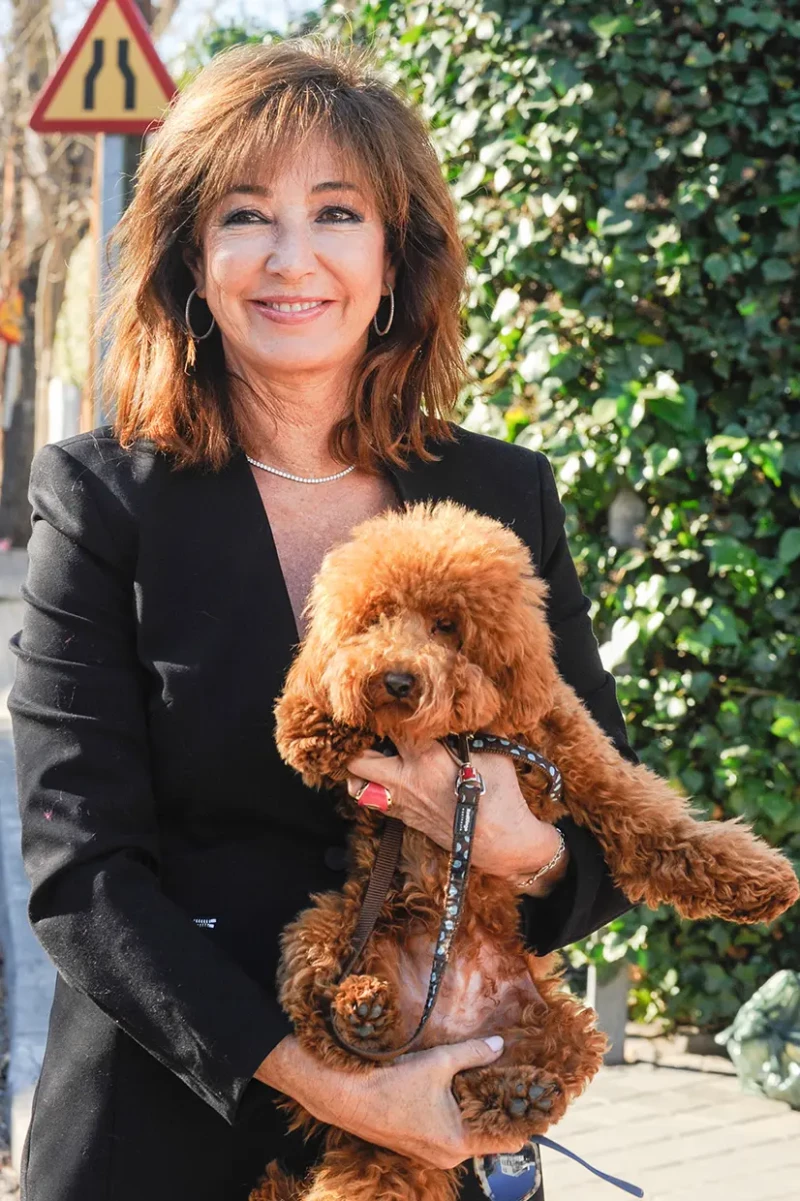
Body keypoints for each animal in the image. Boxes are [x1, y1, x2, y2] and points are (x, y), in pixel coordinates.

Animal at [247, 499, 792, 1201]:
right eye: (374, 619)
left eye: (447, 626)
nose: (394, 678)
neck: (464, 738)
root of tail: (441, 1028)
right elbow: (310, 717)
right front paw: (317, 722)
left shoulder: (574, 750)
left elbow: (654, 819)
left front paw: (758, 880)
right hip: (331, 924)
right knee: (322, 1016)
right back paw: (361, 1009)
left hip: (560, 1028)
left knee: (473, 1097)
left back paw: (512, 1095)